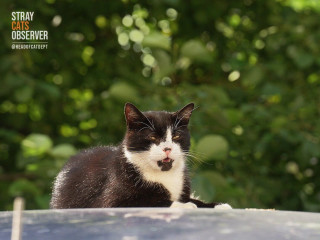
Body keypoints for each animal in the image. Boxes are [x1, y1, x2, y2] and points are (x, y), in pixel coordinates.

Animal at [50, 103, 231, 210]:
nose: (167, 148)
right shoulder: (110, 202)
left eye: (176, 136)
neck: (164, 176)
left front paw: (218, 205)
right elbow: (153, 202)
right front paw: (185, 206)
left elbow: (194, 200)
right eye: (153, 137)